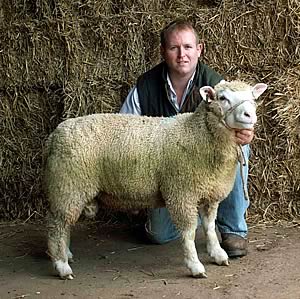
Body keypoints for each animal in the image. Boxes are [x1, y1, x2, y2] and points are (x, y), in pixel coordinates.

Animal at [44, 80, 268, 282]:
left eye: (253, 97)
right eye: (222, 98)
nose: (249, 116)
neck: (197, 135)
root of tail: (55, 135)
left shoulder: (209, 195)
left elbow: (210, 227)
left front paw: (217, 254)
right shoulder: (182, 193)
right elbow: (188, 233)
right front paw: (195, 265)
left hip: (68, 189)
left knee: (63, 225)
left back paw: (66, 255)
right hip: (69, 185)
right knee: (57, 227)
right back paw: (61, 265)